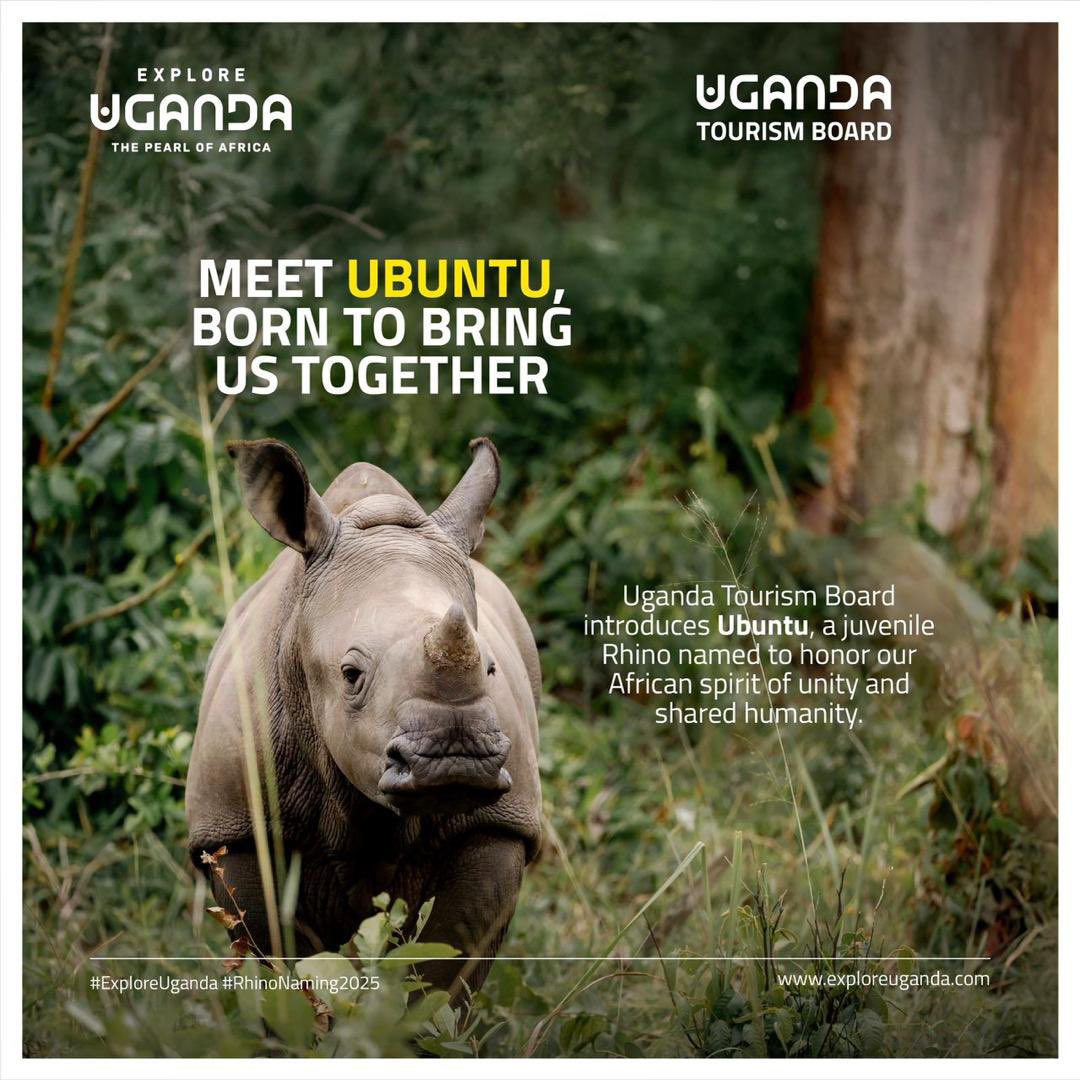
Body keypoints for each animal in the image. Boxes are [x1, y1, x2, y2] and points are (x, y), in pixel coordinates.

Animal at [186, 437, 542, 998]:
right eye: (350, 674)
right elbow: (285, 958)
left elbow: (448, 960)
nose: (455, 759)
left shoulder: (501, 823)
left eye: (490, 668)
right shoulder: (233, 825)